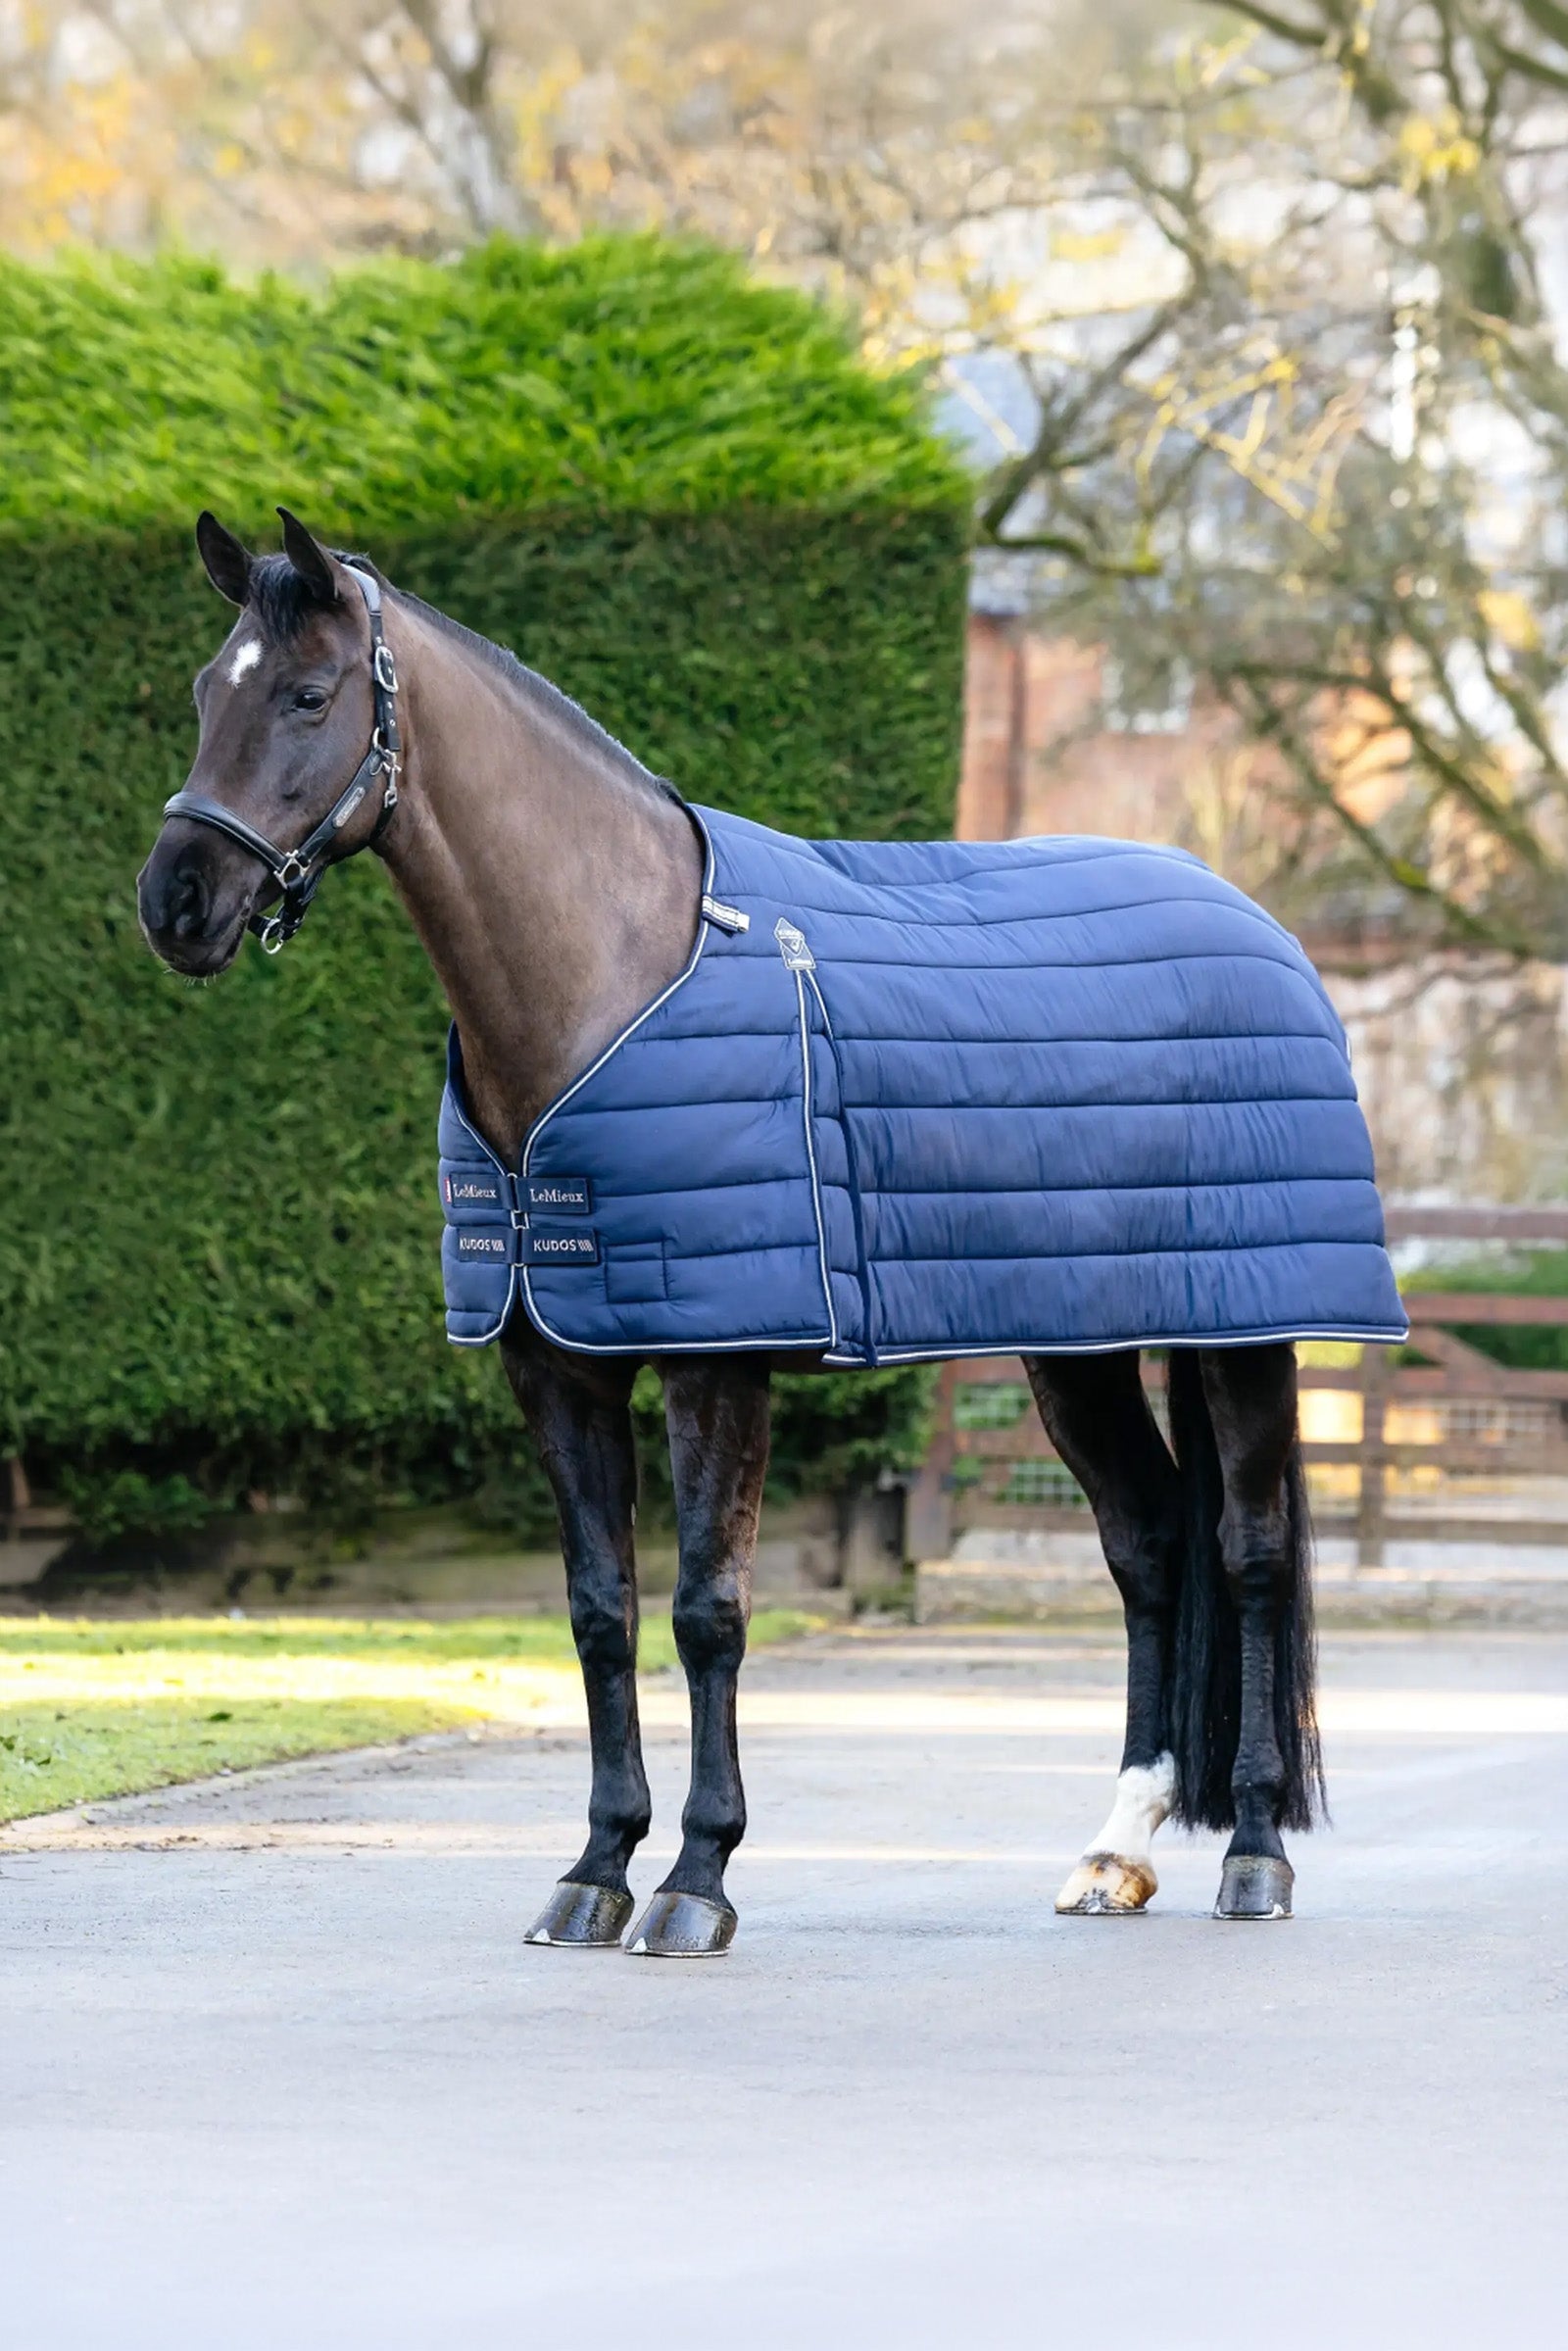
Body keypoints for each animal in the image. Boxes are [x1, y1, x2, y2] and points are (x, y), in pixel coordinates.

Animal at [138, 509, 1402, 1955]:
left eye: (307, 694)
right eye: (204, 691)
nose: (176, 901)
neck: (612, 970)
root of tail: (1258, 922)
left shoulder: (718, 1358)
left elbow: (707, 1611)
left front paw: (696, 1876)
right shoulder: (554, 1359)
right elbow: (599, 1609)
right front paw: (594, 1867)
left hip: (1248, 1334)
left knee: (1246, 1558)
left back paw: (1252, 1851)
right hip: (1076, 1345)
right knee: (1148, 1547)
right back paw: (1115, 1848)